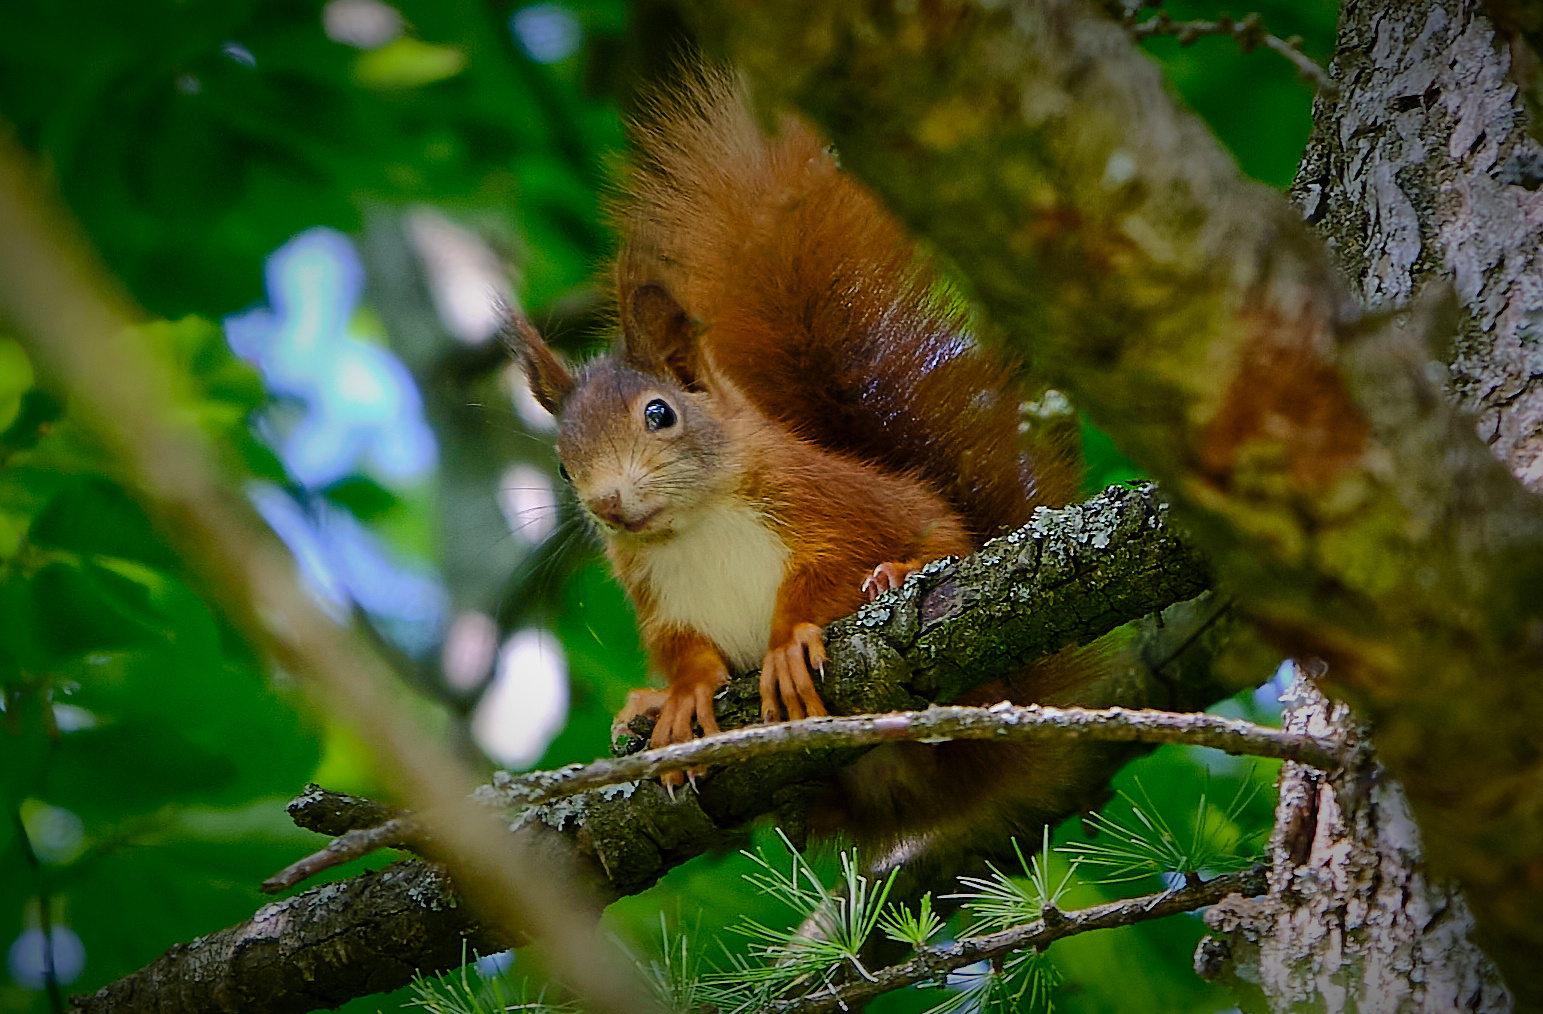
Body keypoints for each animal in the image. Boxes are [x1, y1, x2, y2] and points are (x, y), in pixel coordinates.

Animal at [515, 69, 1086, 821]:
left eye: (660, 414)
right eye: (560, 463)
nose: (607, 504)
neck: (696, 525)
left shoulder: (827, 502)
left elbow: (831, 568)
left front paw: (787, 641)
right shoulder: (657, 597)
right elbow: (681, 650)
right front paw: (680, 694)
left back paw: (898, 577)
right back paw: (641, 707)